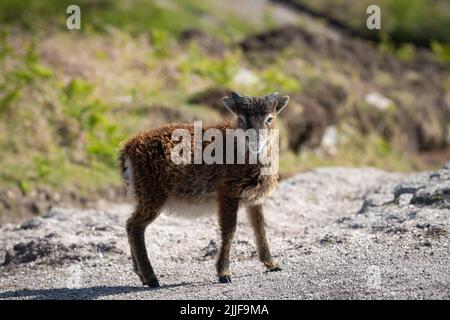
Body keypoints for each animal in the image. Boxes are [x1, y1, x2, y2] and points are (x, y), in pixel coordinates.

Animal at [118, 90, 288, 288]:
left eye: (269, 118)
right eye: (241, 118)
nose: (254, 139)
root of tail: (127, 150)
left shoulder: (254, 198)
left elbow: (260, 228)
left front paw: (272, 264)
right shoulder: (227, 192)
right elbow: (229, 230)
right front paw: (224, 273)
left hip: (144, 194)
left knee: (130, 224)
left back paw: (141, 275)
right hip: (151, 193)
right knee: (135, 226)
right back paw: (151, 278)